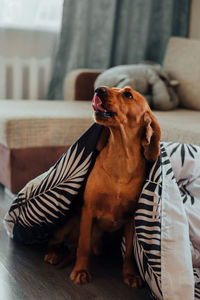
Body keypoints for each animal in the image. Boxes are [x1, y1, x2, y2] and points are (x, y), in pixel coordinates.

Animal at [44, 86, 161, 286]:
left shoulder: (131, 219)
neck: (121, 157)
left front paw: (130, 274)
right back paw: (53, 253)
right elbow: (83, 245)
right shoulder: (88, 210)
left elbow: (129, 253)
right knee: (55, 240)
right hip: (71, 222)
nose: (98, 90)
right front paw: (81, 270)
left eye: (128, 94)